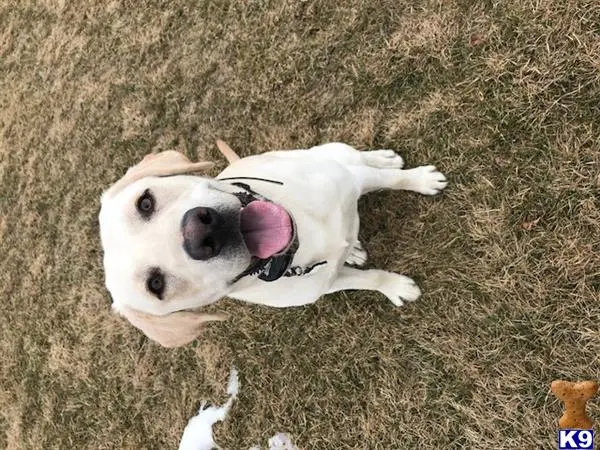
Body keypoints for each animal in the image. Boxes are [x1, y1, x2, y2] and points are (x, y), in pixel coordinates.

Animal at [99, 142, 446, 346]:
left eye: (145, 203)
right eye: (156, 285)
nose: (201, 233)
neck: (298, 239)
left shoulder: (351, 178)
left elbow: (394, 180)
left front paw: (422, 180)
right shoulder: (326, 284)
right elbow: (370, 278)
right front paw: (395, 287)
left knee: (356, 157)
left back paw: (382, 158)